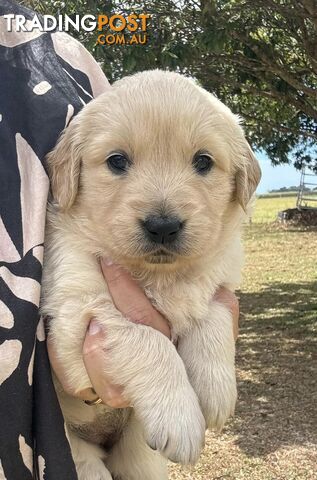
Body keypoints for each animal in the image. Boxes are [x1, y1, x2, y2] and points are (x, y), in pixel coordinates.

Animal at [41, 68, 260, 480]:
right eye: (117, 161)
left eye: (203, 162)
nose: (163, 226)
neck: (161, 276)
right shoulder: (74, 320)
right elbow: (146, 337)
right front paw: (180, 418)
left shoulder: (219, 284)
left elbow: (212, 316)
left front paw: (216, 389)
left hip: (139, 458)